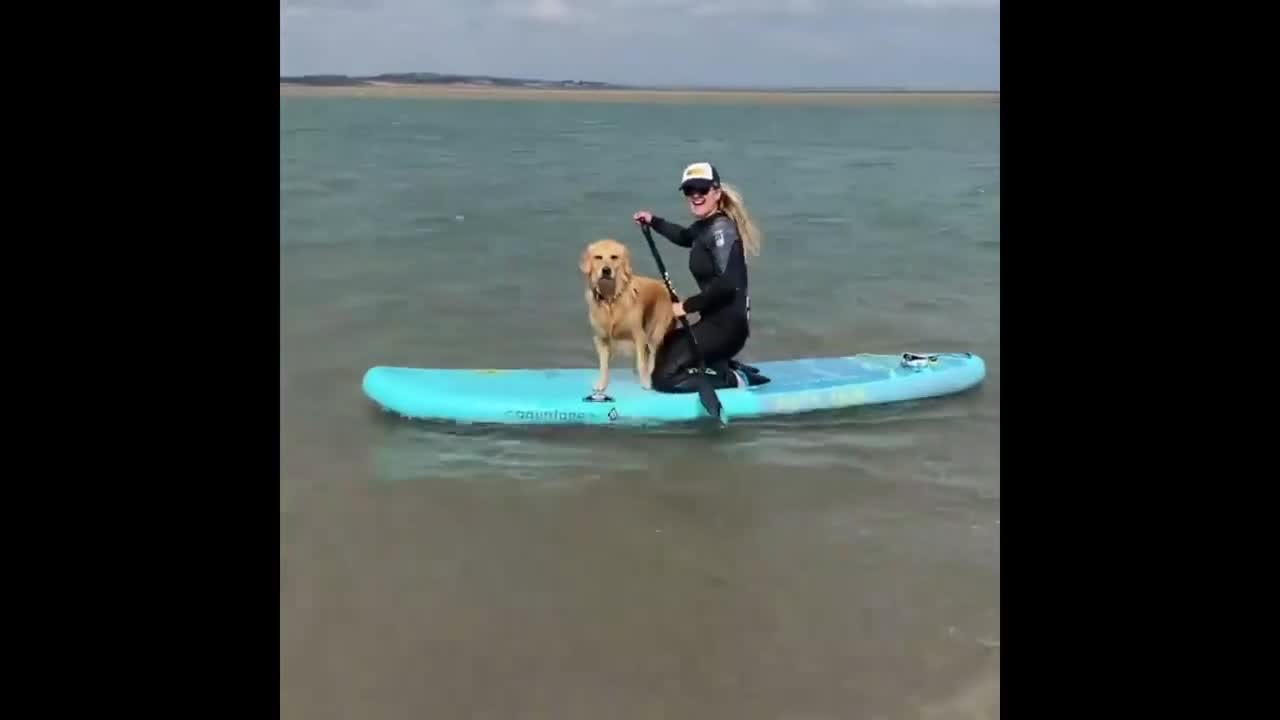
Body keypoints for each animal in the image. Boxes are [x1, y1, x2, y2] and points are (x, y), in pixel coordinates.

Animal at [583, 238, 680, 389]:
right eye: (598, 257)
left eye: (614, 257)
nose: (606, 270)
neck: (611, 299)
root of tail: (665, 286)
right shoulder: (602, 338)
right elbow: (604, 365)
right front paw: (601, 383)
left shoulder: (639, 335)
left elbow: (642, 362)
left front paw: (645, 381)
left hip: (655, 331)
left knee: (652, 353)